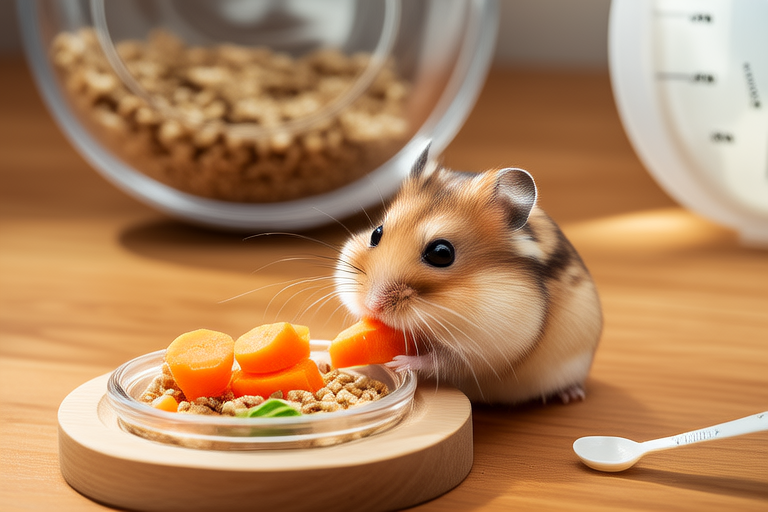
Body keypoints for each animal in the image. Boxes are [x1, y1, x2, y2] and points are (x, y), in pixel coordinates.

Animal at [334, 143, 603, 405]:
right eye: (376, 233)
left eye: (441, 253)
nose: (372, 306)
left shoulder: (482, 348)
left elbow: (440, 360)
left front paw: (398, 362)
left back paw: (571, 395)